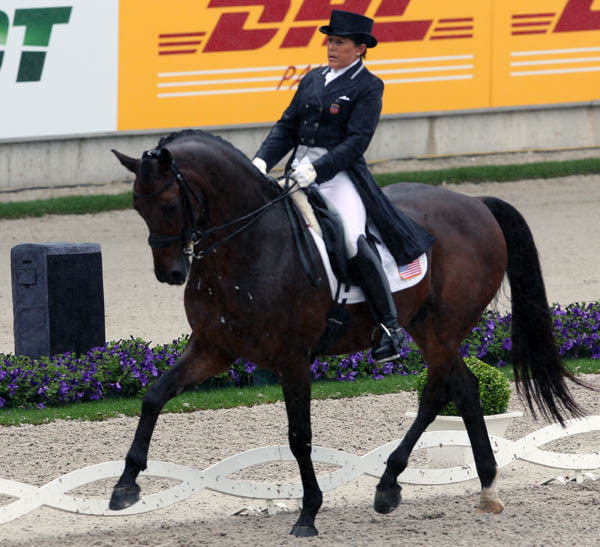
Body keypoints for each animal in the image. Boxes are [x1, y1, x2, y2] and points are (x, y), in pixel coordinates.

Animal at [109, 130, 584, 540]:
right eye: (137, 207)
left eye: (168, 204)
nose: (170, 273)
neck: (249, 247)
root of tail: (475, 203)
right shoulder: (213, 349)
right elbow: (154, 395)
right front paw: (125, 486)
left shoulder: (293, 359)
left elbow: (299, 436)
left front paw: (308, 513)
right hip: (427, 326)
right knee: (464, 388)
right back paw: (476, 486)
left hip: (444, 328)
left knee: (438, 393)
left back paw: (397, 484)